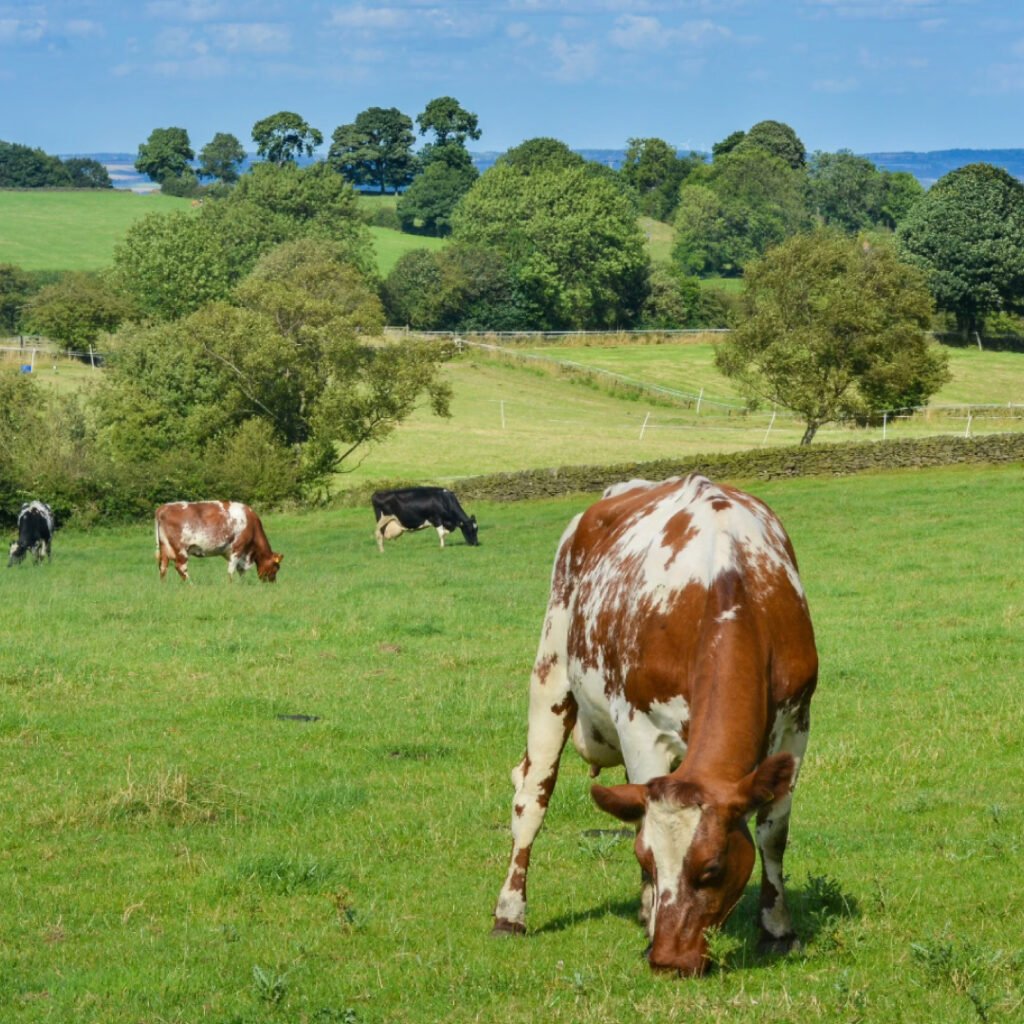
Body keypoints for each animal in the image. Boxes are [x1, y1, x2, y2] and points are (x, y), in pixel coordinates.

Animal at [154, 501, 283, 582]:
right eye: (276, 567)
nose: (272, 583)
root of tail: (163, 508)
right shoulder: (238, 548)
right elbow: (231, 570)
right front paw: (231, 585)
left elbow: (240, 570)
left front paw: (242, 583)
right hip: (180, 549)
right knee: (180, 567)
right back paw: (192, 585)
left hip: (164, 546)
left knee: (163, 567)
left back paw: (163, 585)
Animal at [492, 474, 818, 976]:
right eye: (646, 859)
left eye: (712, 868)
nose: (668, 960)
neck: (729, 583)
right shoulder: (640, 728)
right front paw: (650, 920)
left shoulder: (796, 723)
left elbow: (773, 833)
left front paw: (778, 930)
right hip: (551, 672)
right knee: (531, 796)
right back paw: (510, 913)